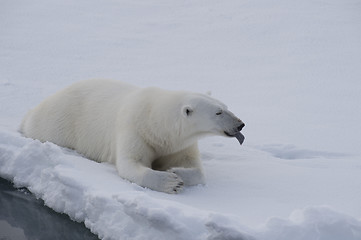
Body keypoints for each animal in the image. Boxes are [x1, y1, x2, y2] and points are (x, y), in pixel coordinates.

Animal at [19, 79, 245, 194]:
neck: (156, 122)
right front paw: (170, 181)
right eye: (218, 112)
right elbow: (130, 163)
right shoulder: (134, 130)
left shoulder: (179, 144)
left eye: (225, 107)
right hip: (58, 123)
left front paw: (176, 170)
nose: (240, 124)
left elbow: (196, 168)